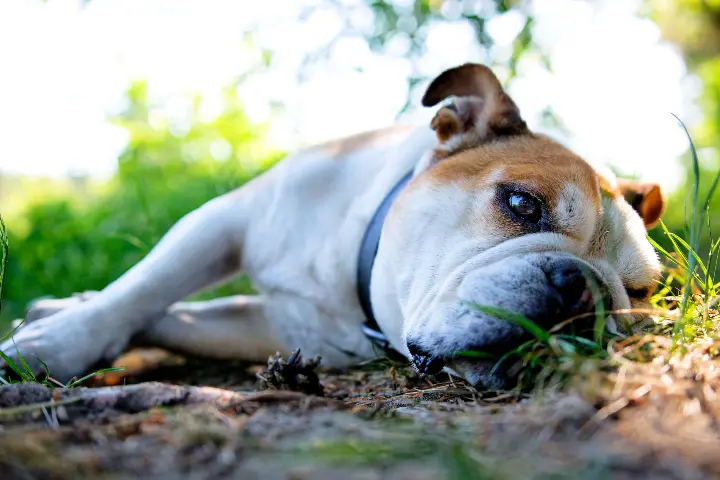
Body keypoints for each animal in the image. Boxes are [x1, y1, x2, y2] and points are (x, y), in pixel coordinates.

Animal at [0, 63, 668, 388]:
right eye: (523, 205)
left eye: (640, 294)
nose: (581, 289)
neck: (351, 272)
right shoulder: (222, 222)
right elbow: (143, 291)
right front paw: (57, 341)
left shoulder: (270, 327)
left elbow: (175, 317)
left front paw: (56, 320)